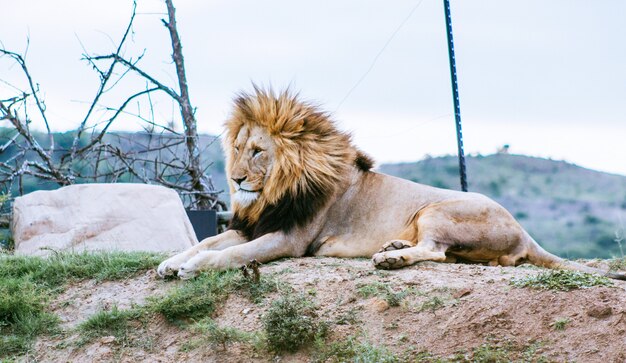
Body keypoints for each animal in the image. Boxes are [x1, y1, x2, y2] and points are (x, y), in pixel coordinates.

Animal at [158, 88, 624, 282]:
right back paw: (395, 246)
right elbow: (208, 241)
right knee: (446, 254)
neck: (274, 194)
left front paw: (192, 268)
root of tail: (525, 232)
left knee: (435, 251)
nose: (236, 178)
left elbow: (231, 254)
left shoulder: (289, 238)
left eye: (258, 151)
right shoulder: (253, 223)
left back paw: (391, 259)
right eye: (237, 148)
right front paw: (171, 262)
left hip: (437, 208)